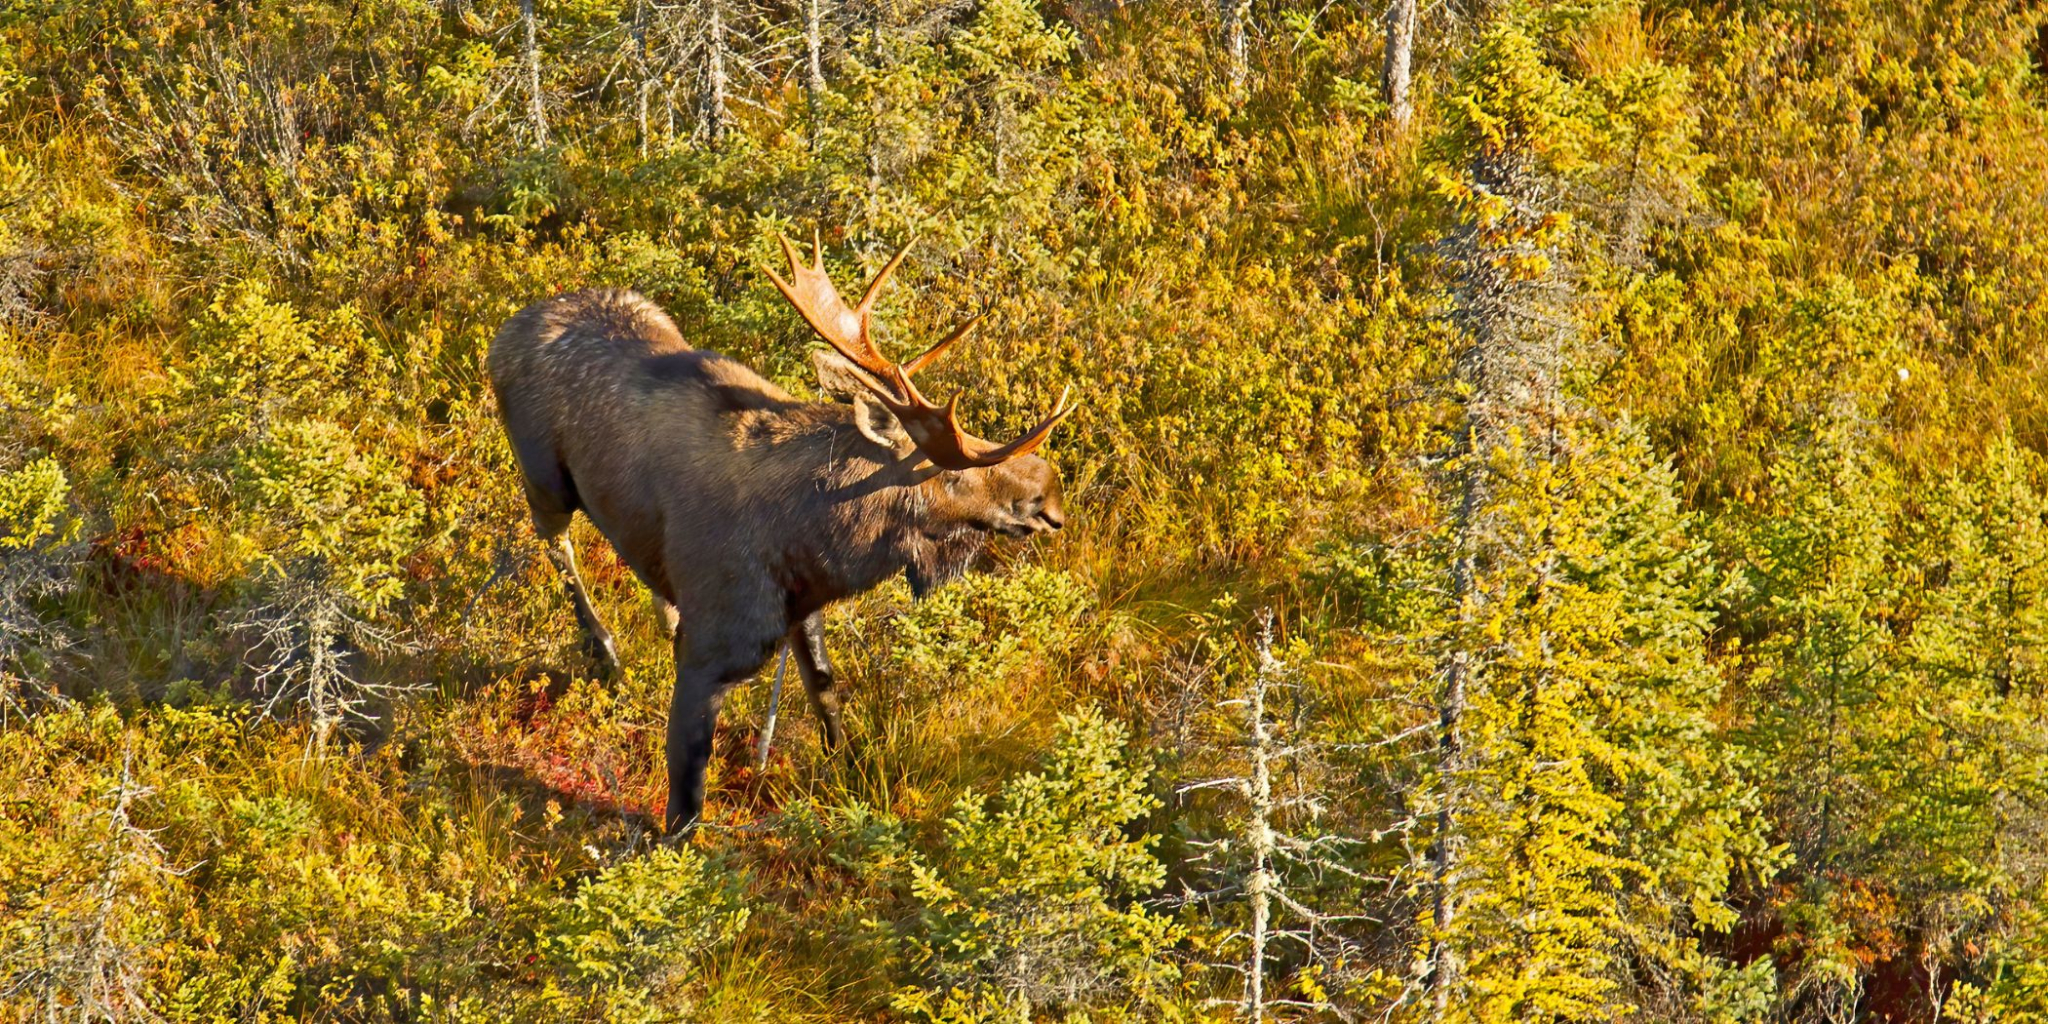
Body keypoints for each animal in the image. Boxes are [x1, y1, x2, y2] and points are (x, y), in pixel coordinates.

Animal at [486, 234, 1074, 833]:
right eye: (950, 472)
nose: (1050, 496)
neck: (820, 539)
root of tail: (506, 329)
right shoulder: (711, 649)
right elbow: (686, 799)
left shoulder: (802, 610)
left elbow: (826, 694)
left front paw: (848, 780)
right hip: (545, 479)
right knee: (556, 546)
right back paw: (605, 652)